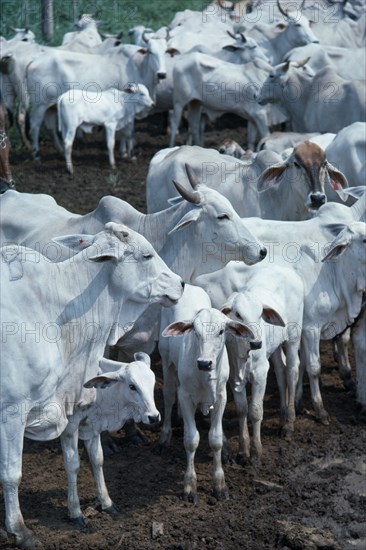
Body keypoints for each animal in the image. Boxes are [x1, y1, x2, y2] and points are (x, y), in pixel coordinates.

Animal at [159, 286, 253, 506]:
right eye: (195, 331)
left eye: (221, 331)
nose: (204, 363)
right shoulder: (185, 397)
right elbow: (191, 440)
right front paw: (189, 487)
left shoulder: (221, 397)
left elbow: (215, 438)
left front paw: (219, 485)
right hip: (166, 360)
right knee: (168, 396)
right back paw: (165, 435)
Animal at [196, 266, 304, 464]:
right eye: (238, 315)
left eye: (260, 313)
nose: (256, 343)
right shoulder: (234, 378)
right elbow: (242, 410)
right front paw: (243, 450)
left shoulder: (260, 374)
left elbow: (255, 411)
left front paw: (255, 452)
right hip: (274, 348)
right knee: (281, 372)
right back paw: (282, 416)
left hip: (293, 337)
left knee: (292, 371)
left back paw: (289, 423)